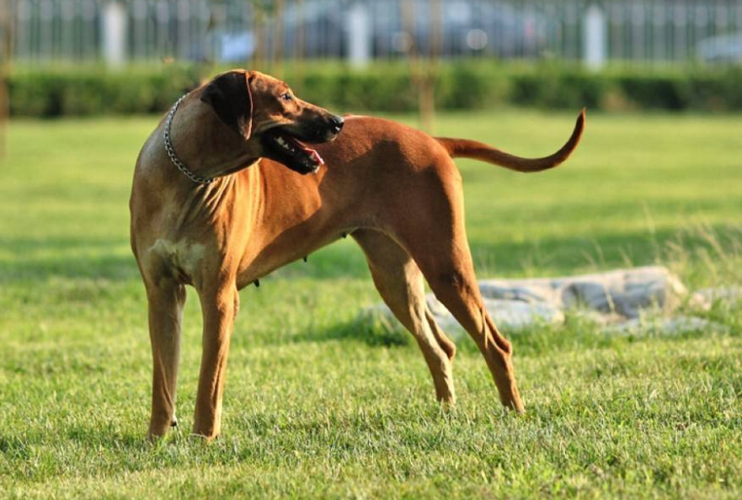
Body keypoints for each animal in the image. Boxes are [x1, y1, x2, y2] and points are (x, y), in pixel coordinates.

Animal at [129, 69, 588, 438]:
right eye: (286, 97)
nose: (336, 122)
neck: (187, 177)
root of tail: (431, 138)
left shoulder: (220, 295)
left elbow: (209, 379)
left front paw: (203, 437)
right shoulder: (161, 294)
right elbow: (162, 377)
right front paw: (157, 439)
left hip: (445, 265)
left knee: (496, 344)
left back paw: (514, 413)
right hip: (394, 277)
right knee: (441, 346)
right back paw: (447, 413)